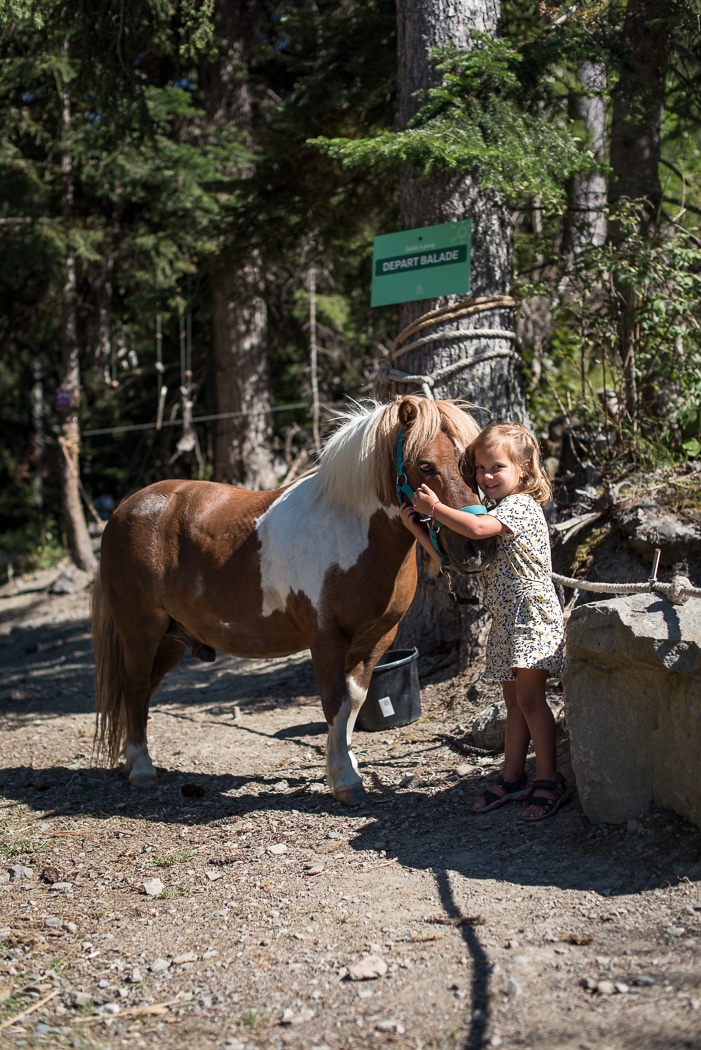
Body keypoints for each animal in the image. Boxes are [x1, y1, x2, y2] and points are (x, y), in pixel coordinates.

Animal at [90, 394, 491, 802]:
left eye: (470, 465)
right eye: (425, 465)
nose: (475, 547)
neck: (347, 531)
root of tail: (123, 510)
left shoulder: (376, 638)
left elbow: (354, 701)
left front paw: (344, 764)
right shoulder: (326, 638)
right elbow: (335, 703)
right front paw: (345, 780)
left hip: (172, 640)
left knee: (143, 691)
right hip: (141, 632)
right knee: (135, 687)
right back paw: (142, 769)